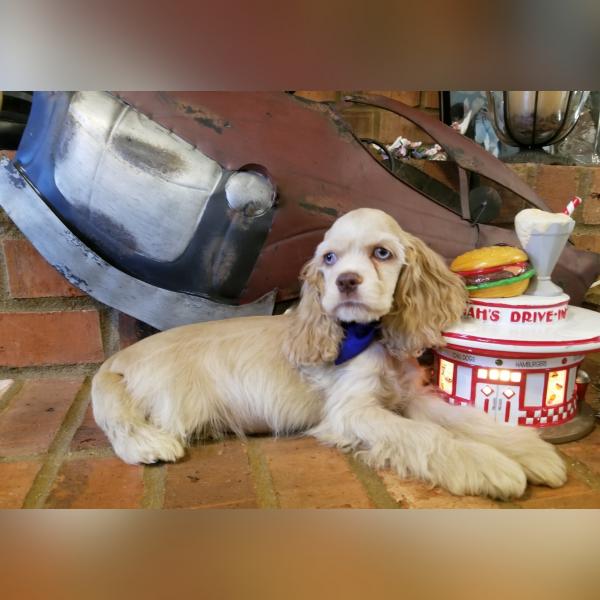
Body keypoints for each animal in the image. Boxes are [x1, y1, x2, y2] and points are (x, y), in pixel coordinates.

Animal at [91, 209, 564, 500]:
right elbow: (429, 436)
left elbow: (464, 419)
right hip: (176, 405)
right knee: (125, 429)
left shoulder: (410, 397)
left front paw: (532, 454)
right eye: (330, 259)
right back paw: (149, 447)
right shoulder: (354, 411)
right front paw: (490, 467)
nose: (346, 281)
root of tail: (116, 362)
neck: (370, 337)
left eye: (382, 252)